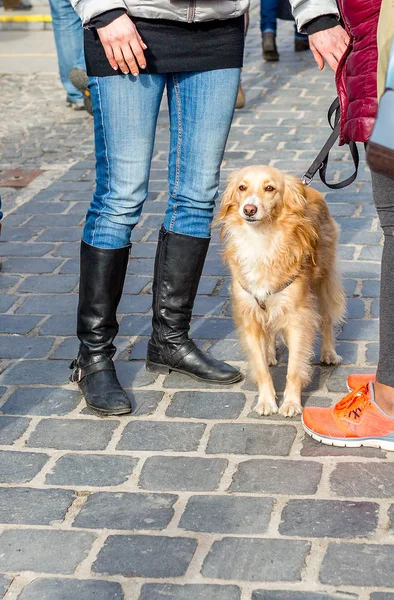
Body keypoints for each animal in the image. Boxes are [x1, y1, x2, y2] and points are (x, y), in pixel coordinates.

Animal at [219, 164, 344, 418]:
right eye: (242, 187)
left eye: (270, 188)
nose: (249, 209)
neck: (261, 241)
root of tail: (308, 187)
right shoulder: (249, 316)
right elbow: (260, 369)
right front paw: (267, 401)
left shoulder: (297, 316)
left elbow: (294, 367)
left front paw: (291, 403)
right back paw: (269, 354)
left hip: (323, 283)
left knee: (326, 320)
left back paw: (328, 354)